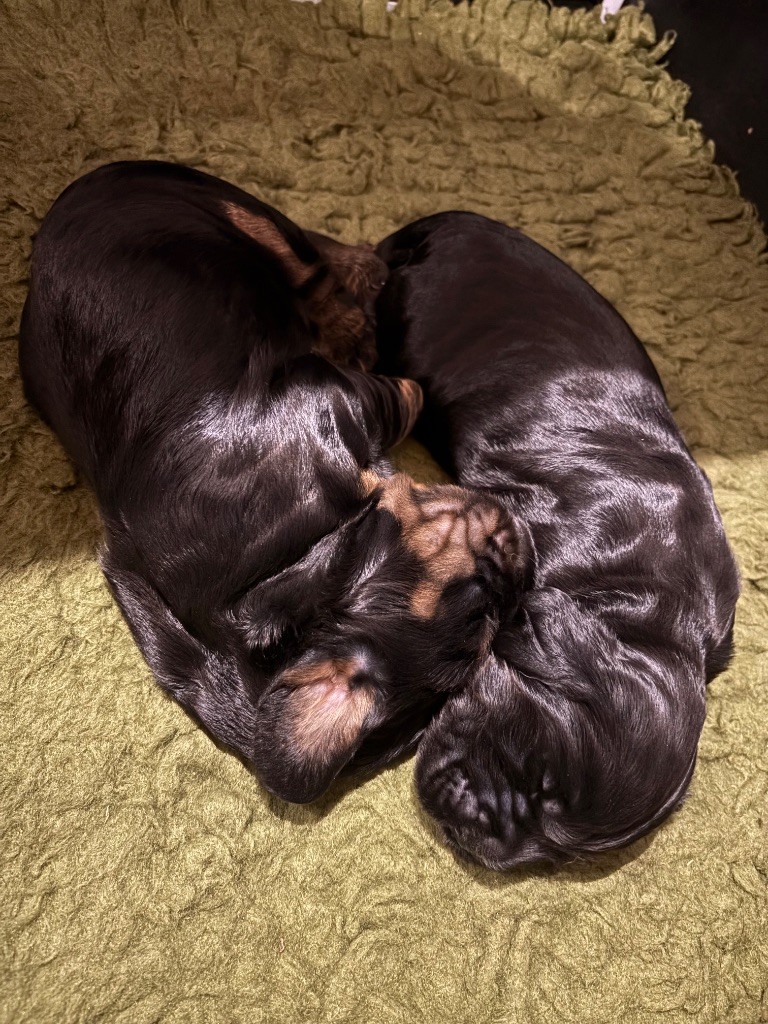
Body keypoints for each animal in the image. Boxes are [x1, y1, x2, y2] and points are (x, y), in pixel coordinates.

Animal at [20, 165, 520, 806]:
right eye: (481, 601)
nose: (523, 552)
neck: (301, 557)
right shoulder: (339, 397)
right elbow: (404, 394)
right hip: (243, 215)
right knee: (320, 261)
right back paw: (362, 296)